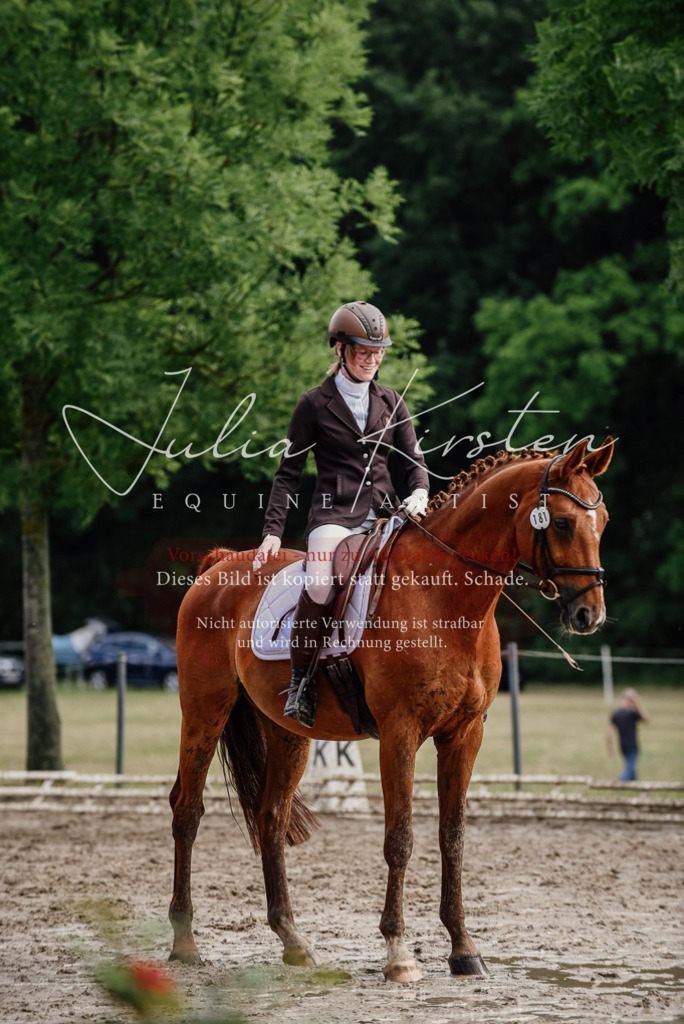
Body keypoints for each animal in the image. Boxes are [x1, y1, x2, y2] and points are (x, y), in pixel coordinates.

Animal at [168, 438, 613, 981]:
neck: (444, 596)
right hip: (204, 711)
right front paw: (399, 954)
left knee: (271, 817)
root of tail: (219, 565)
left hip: (288, 731)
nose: (590, 615)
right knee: (187, 811)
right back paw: (184, 941)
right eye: (565, 523)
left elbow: (452, 836)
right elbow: (400, 838)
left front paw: (463, 949)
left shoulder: (465, 734)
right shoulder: (400, 732)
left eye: (603, 520)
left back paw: (295, 942)